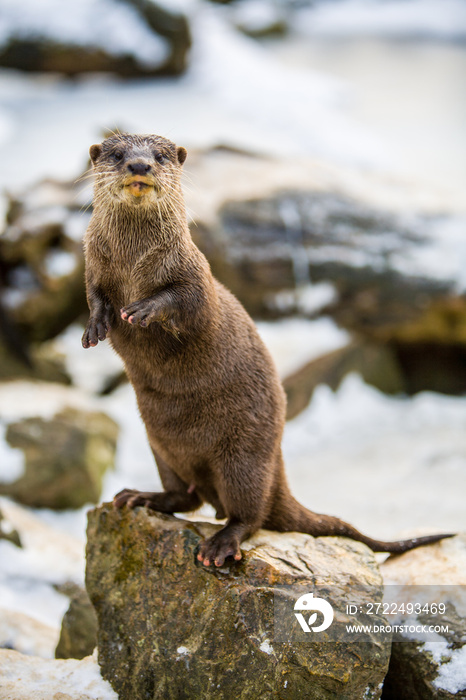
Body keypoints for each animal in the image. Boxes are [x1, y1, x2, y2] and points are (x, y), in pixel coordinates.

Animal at [82, 134, 454, 568]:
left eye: (158, 156)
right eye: (117, 154)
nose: (140, 165)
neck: (133, 265)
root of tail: (276, 465)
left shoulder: (194, 273)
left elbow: (186, 301)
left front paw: (142, 310)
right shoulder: (93, 264)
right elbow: (94, 296)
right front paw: (95, 326)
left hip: (245, 454)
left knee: (250, 513)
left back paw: (221, 544)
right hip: (161, 448)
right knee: (185, 497)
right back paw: (141, 497)